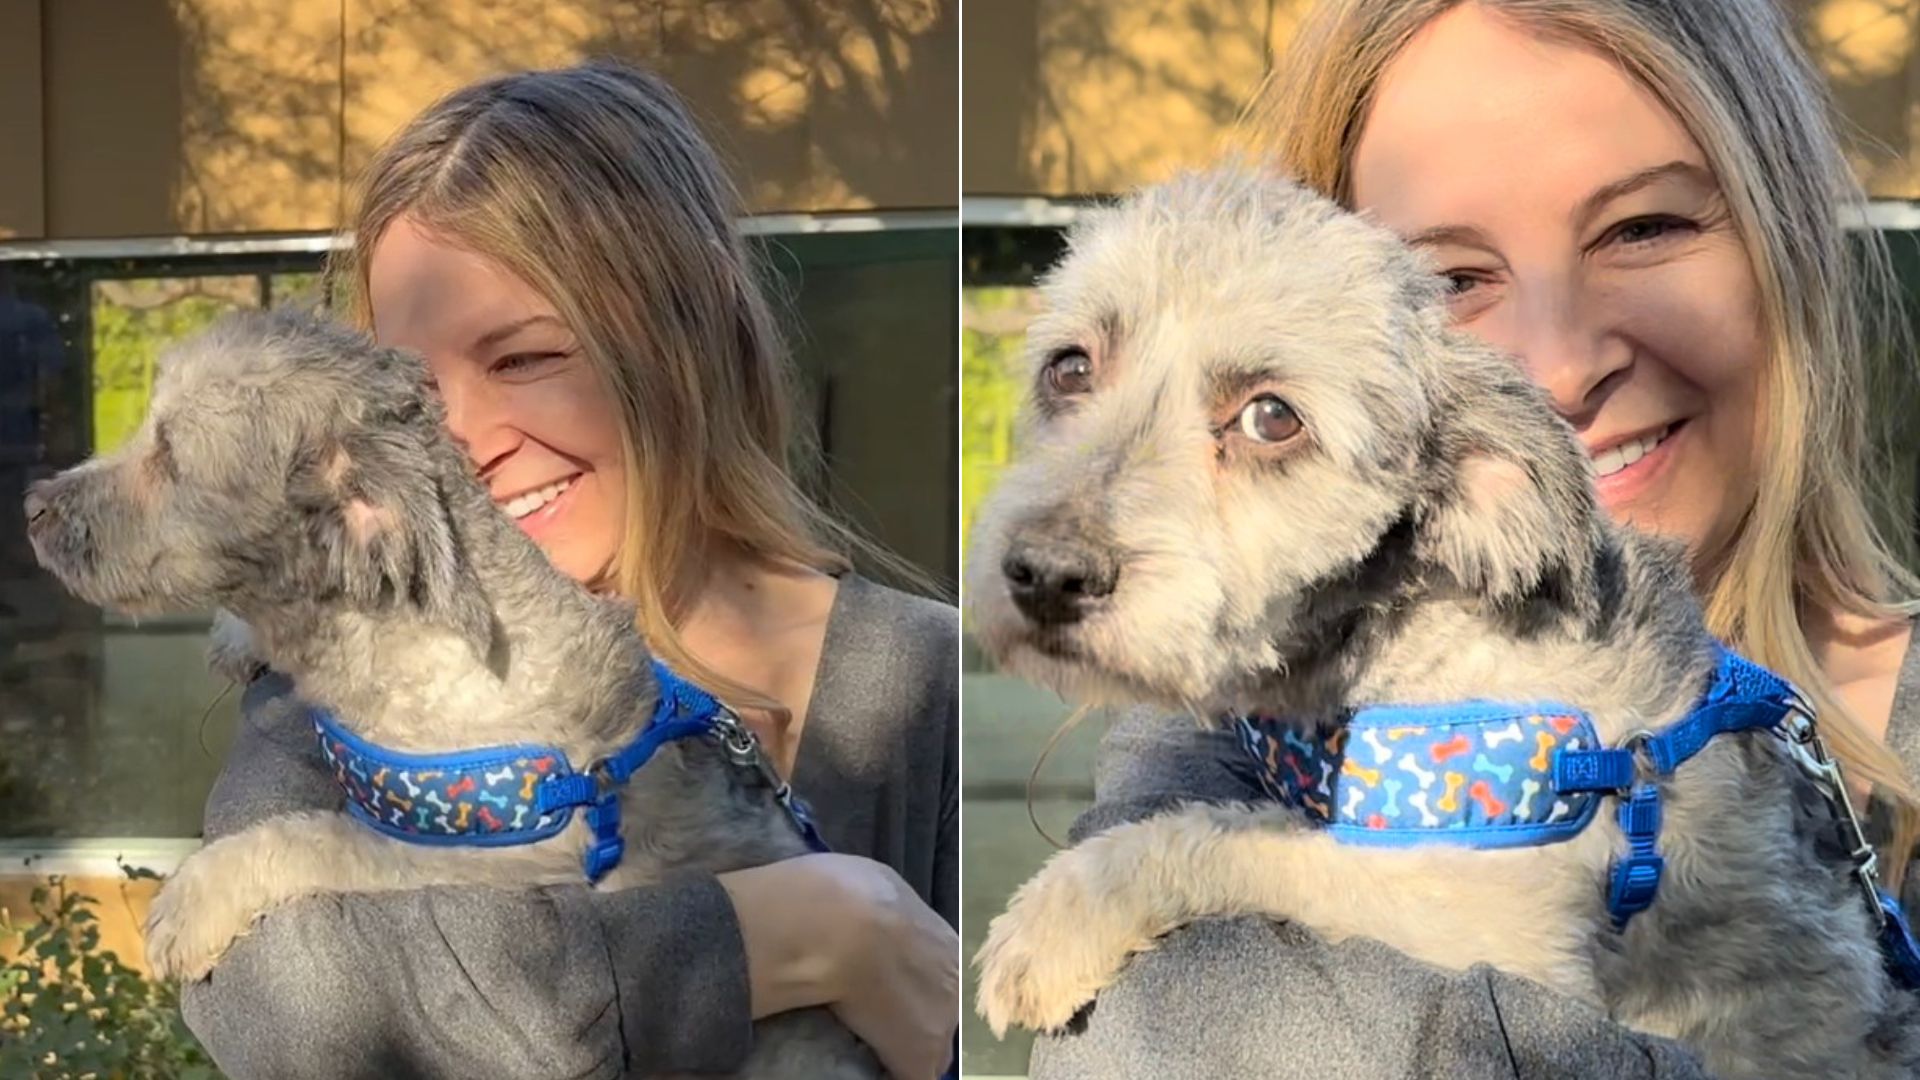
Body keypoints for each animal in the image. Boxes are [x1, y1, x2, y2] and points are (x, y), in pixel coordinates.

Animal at [26, 305, 879, 1076]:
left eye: (168, 453)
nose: (31, 506)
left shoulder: (478, 862)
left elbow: (315, 835)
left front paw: (197, 897)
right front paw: (239, 637)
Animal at [967, 166, 1920, 1076]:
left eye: (1272, 417)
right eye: (1069, 368)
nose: (1045, 575)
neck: (1418, 632)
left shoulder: (1484, 919)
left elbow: (1243, 840)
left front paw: (1057, 919)